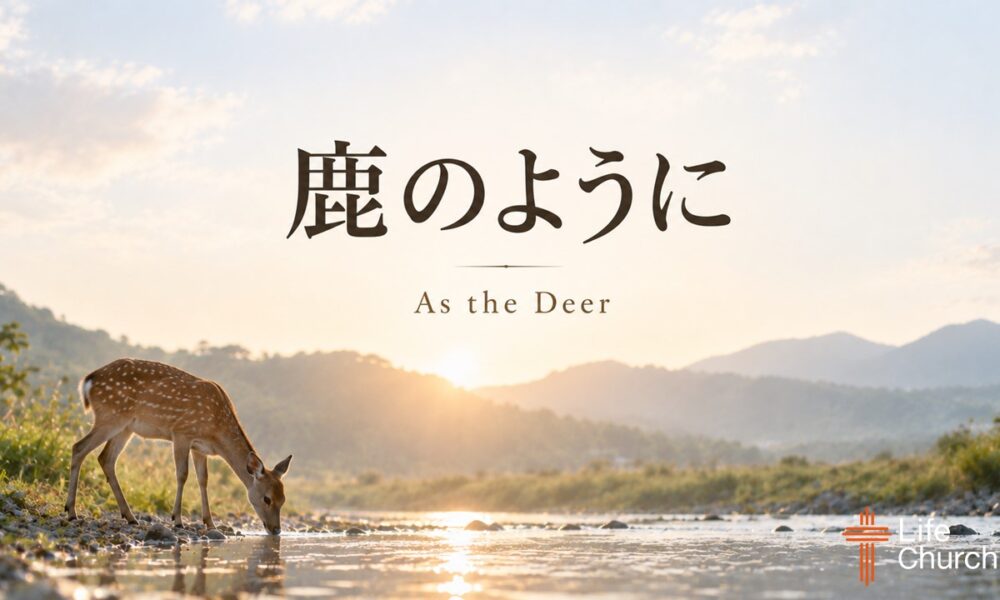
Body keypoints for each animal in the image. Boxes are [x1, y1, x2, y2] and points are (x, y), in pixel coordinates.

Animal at [64, 358, 291, 535]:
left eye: (283, 499)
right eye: (267, 499)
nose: (276, 530)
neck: (216, 430)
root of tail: (88, 380)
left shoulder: (200, 448)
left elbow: (203, 480)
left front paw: (210, 523)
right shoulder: (182, 433)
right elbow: (182, 474)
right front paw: (178, 520)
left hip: (125, 427)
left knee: (106, 458)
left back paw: (129, 516)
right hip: (110, 416)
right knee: (79, 447)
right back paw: (72, 512)